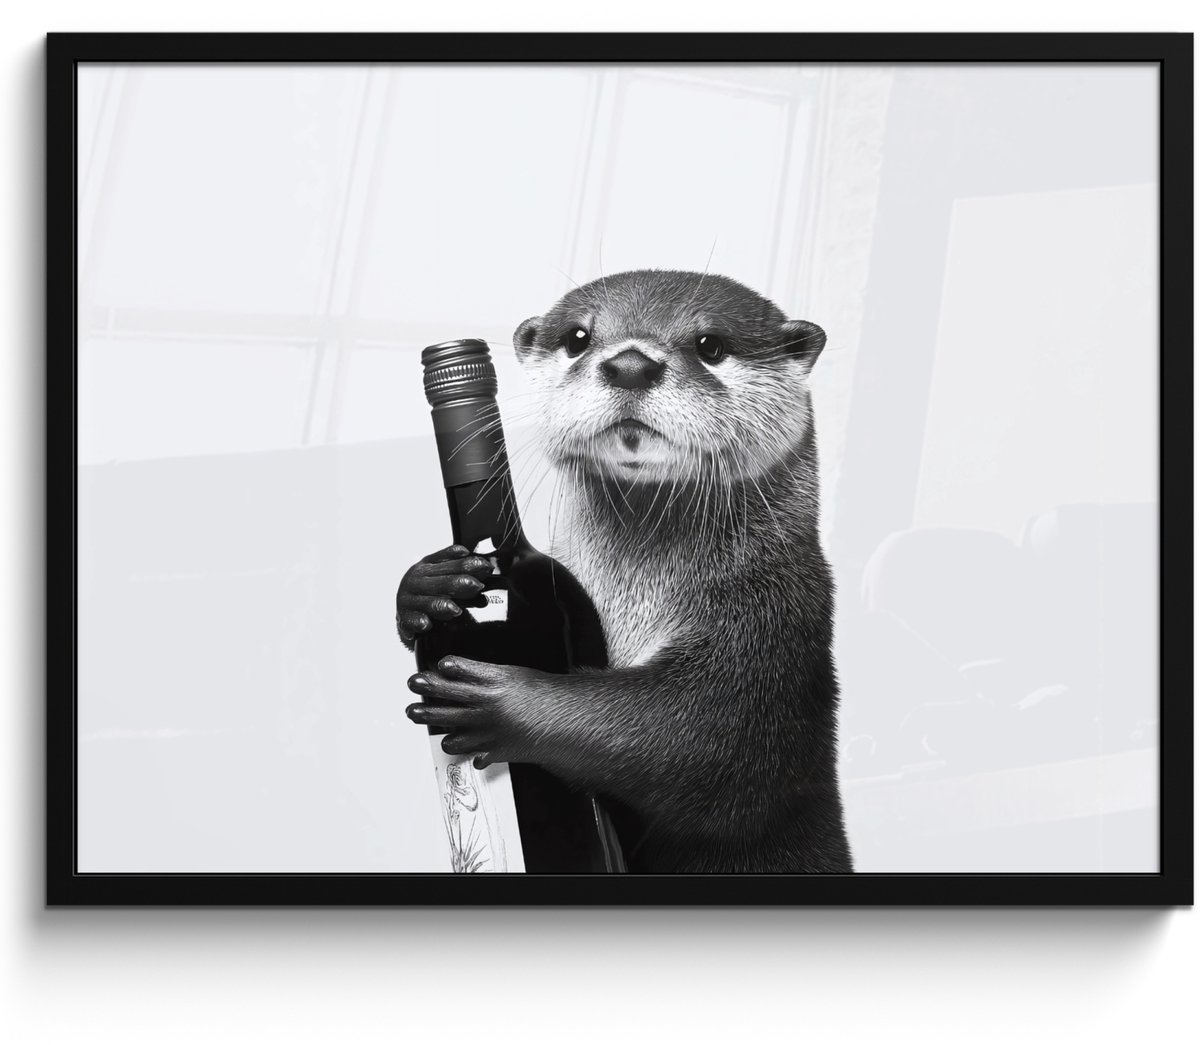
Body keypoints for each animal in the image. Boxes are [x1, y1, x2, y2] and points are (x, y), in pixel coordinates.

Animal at [398, 270, 852, 874]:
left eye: (711, 345)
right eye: (578, 337)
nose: (630, 363)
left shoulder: (774, 620)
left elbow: (696, 733)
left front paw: (507, 703)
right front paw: (425, 587)